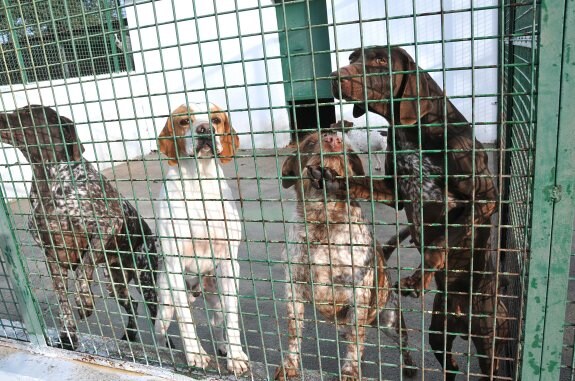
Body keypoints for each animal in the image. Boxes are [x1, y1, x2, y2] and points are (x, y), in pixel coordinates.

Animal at [154, 103, 249, 374]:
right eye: (185, 121)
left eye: (215, 119)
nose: (205, 129)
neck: (200, 183)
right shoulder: (174, 264)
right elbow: (186, 322)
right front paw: (195, 354)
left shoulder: (229, 263)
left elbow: (232, 321)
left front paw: (236, 356)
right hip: (166, 304)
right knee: (161, 329)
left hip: (217, 295)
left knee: (219, 324)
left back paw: (225, 346)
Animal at [274, 131, 414, 380]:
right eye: (310, 142)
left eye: (348, 151)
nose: (333, 139)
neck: (323, 218)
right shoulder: (293, 289)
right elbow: (293, 331)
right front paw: (290, 364)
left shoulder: (358, 292)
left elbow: (356, 340)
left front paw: (350, 370)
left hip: (390, 320)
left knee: (400, 343)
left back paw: (409, 367)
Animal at [310, 46, 508, 378]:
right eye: (352, 58)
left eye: (379, 61)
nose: (334, 77)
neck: (412, 131)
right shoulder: (395, 192)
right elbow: (361, 184)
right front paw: (334, 179)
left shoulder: (485, 198)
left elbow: (442, 240)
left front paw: (417, 279)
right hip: (439, 335)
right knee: (451, 363)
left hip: (490, 345)